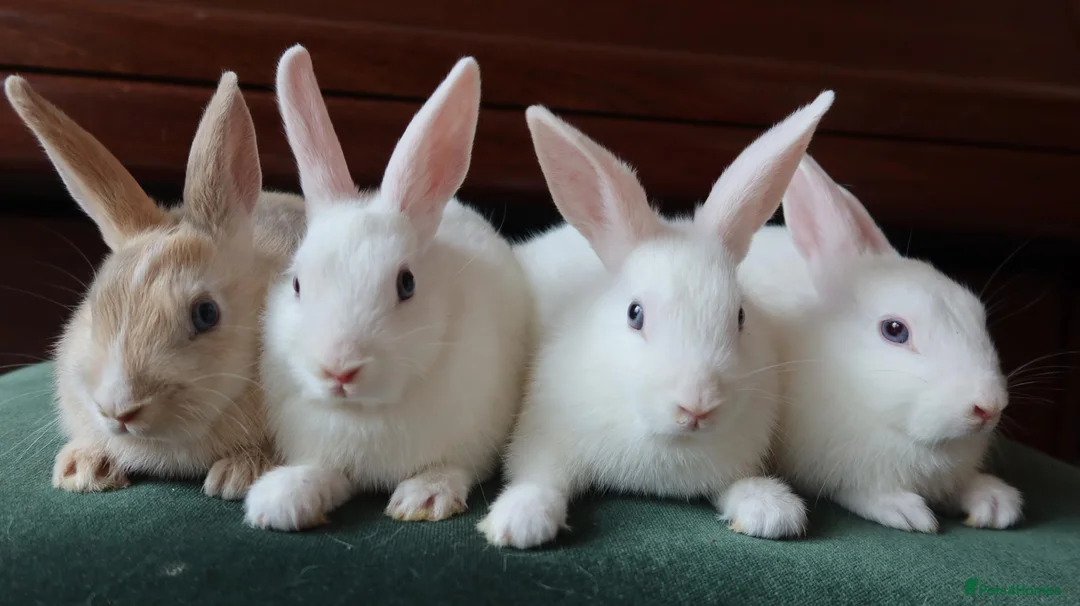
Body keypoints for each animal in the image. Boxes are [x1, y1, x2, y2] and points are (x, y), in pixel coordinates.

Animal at [243, 46, 532, 532]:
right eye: (297, 283)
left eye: (406, 283)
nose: (338, 370)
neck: (367, 411)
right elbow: (322, 471)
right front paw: (280, 500)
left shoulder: (471, 442)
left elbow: (453, 466)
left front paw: (425, 497)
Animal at [478, 91, 835, 549]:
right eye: (635, 315)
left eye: (739, 315)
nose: (698, 406)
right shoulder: (543, 436)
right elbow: (539, 476)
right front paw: (521, 521)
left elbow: (738, 485)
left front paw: (770, 509)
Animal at [738, 154, 1022, 533]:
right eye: (894, 329)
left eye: (976, 313)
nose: (988, 407)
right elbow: (858, 490)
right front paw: (905, 510)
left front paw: (994, 501)